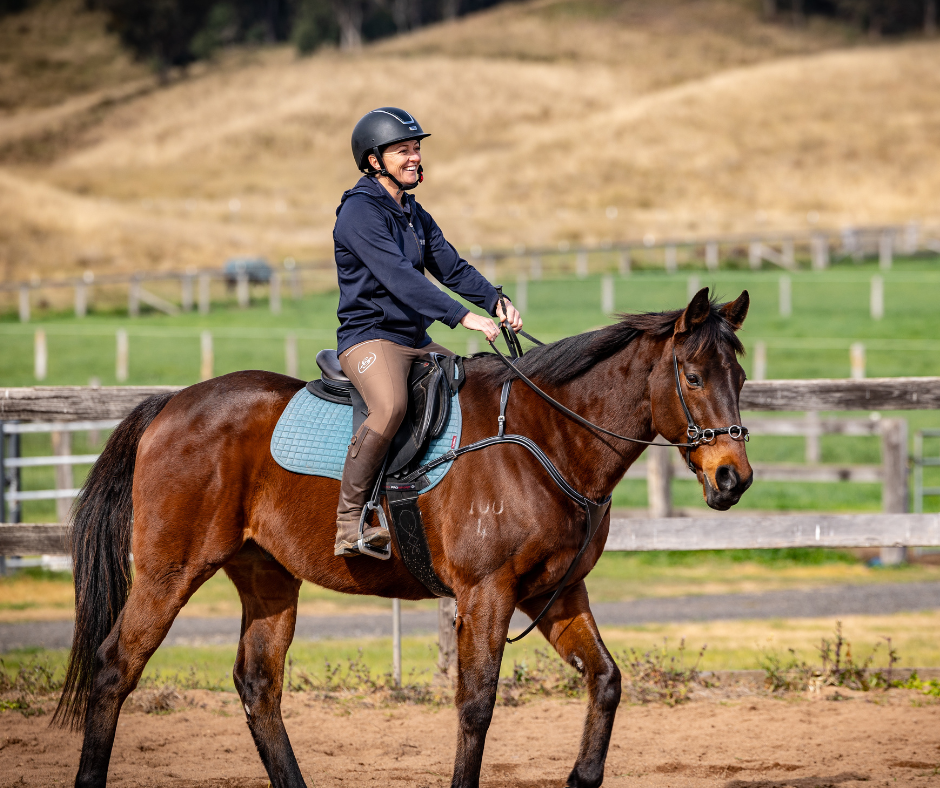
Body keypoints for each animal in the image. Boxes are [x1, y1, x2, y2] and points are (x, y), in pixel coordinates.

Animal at [55, 287, 753, 788]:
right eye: (693, 378)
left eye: (740, 380)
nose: (733, 478)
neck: (545, 438)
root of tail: (170, 406)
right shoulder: (486, 594)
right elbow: (476, 704)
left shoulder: (556, 592)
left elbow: (605, 680)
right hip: (170, 572)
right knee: (115, 668)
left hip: (267, 578)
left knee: (259, 686)